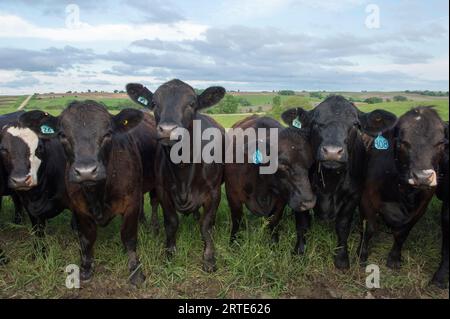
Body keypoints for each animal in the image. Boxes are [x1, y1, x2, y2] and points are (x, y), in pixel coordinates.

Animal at [19, 102, 146, 288]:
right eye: (62, 135)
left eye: (108, 134)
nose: (86, 172)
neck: (98, 193)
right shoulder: (79, 208)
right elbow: (86, 237)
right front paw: (86, 268)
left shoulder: (132, 203)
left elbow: (129, 237)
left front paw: (135, 271)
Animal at [126, 79, 225, 272]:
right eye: (154, 103)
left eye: (192, 103)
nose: (167, 129)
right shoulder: (163, 191)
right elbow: (171, 223)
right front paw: (169, 252)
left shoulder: (214, 191)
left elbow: (206, 225)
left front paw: (209, 257)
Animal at [225, 115, 316, 252]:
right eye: (282, 164)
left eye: (310, 162)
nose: (309, 203)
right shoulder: (232, 195)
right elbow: (236, 220)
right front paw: (234, 243)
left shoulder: (281, 199)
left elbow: (274, 221)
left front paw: (274, 243)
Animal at [284, 95, 398, 270]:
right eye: (316, 123)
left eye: (355, 124)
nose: (332, 152)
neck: (329, 182)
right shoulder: (300, 192)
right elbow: (302, 223)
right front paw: (299, 251)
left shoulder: (353, 196)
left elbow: (343, 226)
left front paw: (342, 258)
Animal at [358, 109, 446, 286]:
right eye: (402, 142)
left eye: (441, 143)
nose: (422, 177)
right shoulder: (366, 198)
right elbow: (370, 228)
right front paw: (362, 254)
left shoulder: (421, 207)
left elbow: (402, 233)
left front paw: (394, 259)